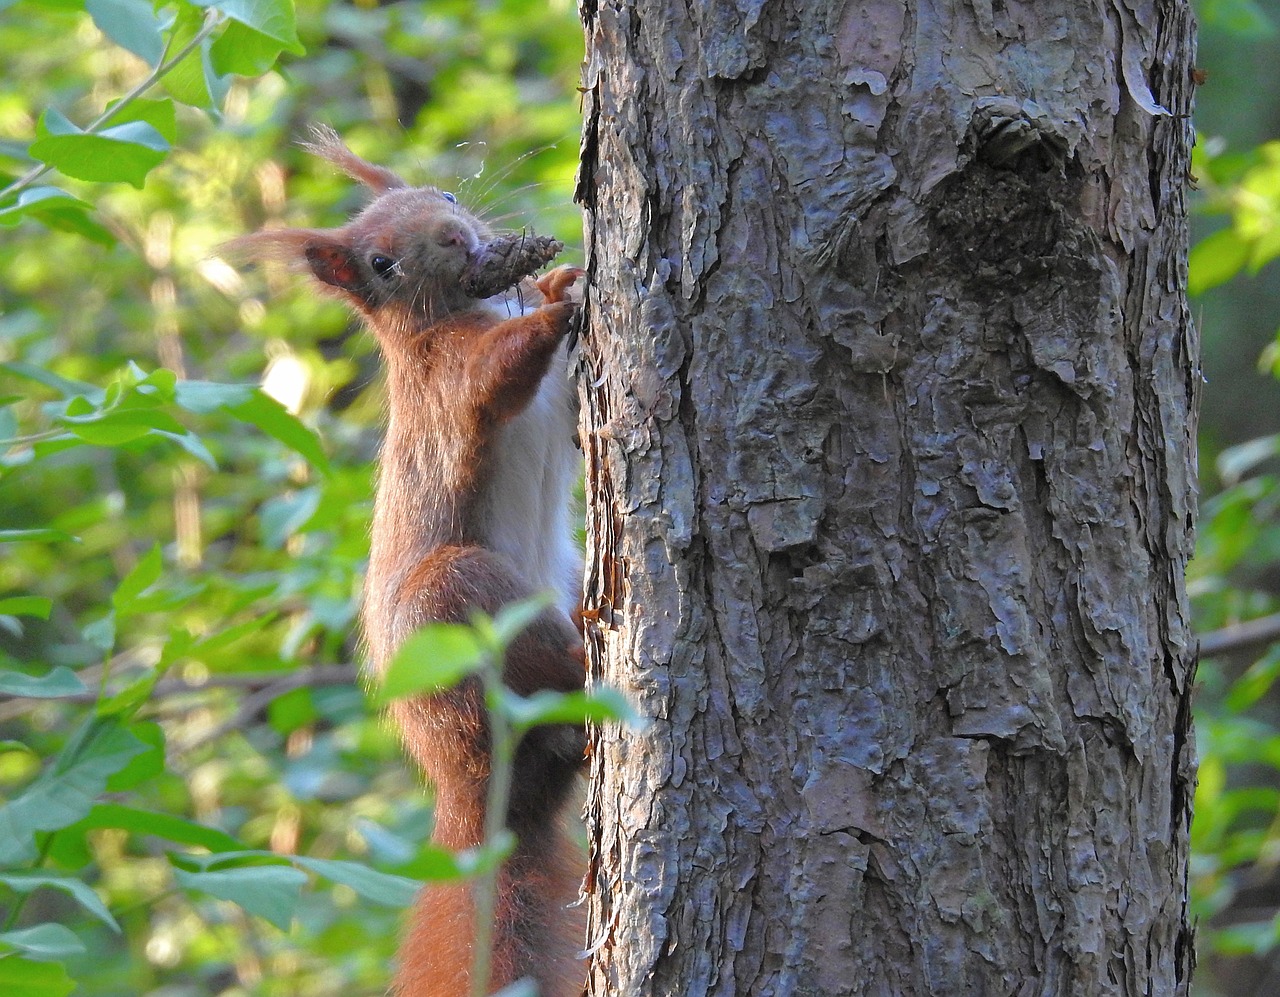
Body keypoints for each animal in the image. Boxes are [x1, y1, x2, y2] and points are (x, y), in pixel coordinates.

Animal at [235, 130, 586, 997]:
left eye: (447, 197)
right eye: (381, 263)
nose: (457, 238)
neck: (462, 309)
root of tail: (471, 798)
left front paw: (557, 278)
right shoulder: (445, 383)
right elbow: (494, 375)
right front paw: (557, 305)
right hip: (458, 596)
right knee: (537, 669)